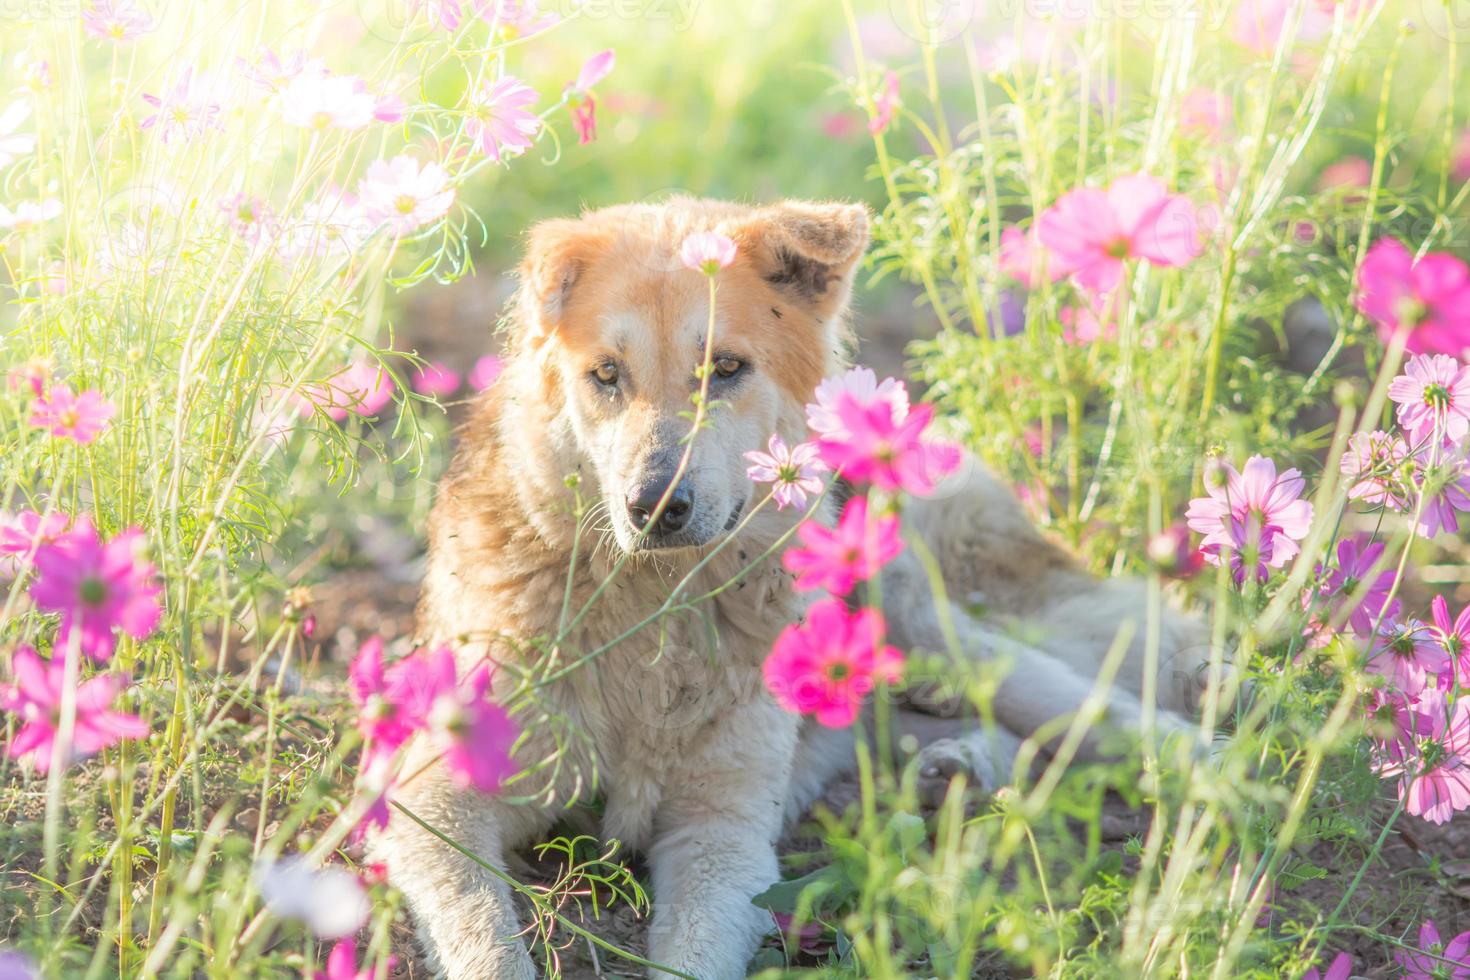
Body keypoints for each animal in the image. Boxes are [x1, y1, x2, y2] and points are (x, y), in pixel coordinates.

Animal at [373, 195, 1211, 975]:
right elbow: (486, 938)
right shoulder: (430, 799)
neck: (657, 610)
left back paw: (1211, 766)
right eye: (606, 376)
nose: (655, 507)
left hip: (940, 629)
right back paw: (953, 771)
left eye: (727, 369)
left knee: (1104, 711)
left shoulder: (724, 834)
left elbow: (690, 955)